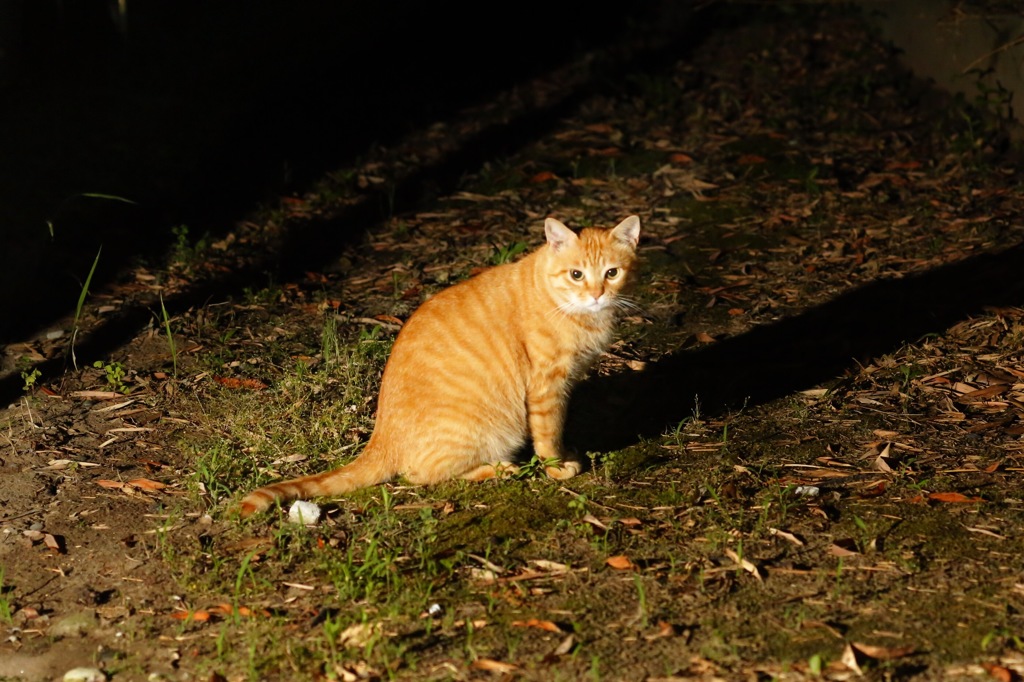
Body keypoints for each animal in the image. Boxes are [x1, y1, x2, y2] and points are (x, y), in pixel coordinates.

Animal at [239, 215, 638, 512]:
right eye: (576, 275)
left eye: (612, 273)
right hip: (488, 431)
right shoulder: (546, 386)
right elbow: (548, 433)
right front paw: (556, 467)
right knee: (420, 475)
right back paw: (497, 469)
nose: (597, 295)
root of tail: (380, 437)